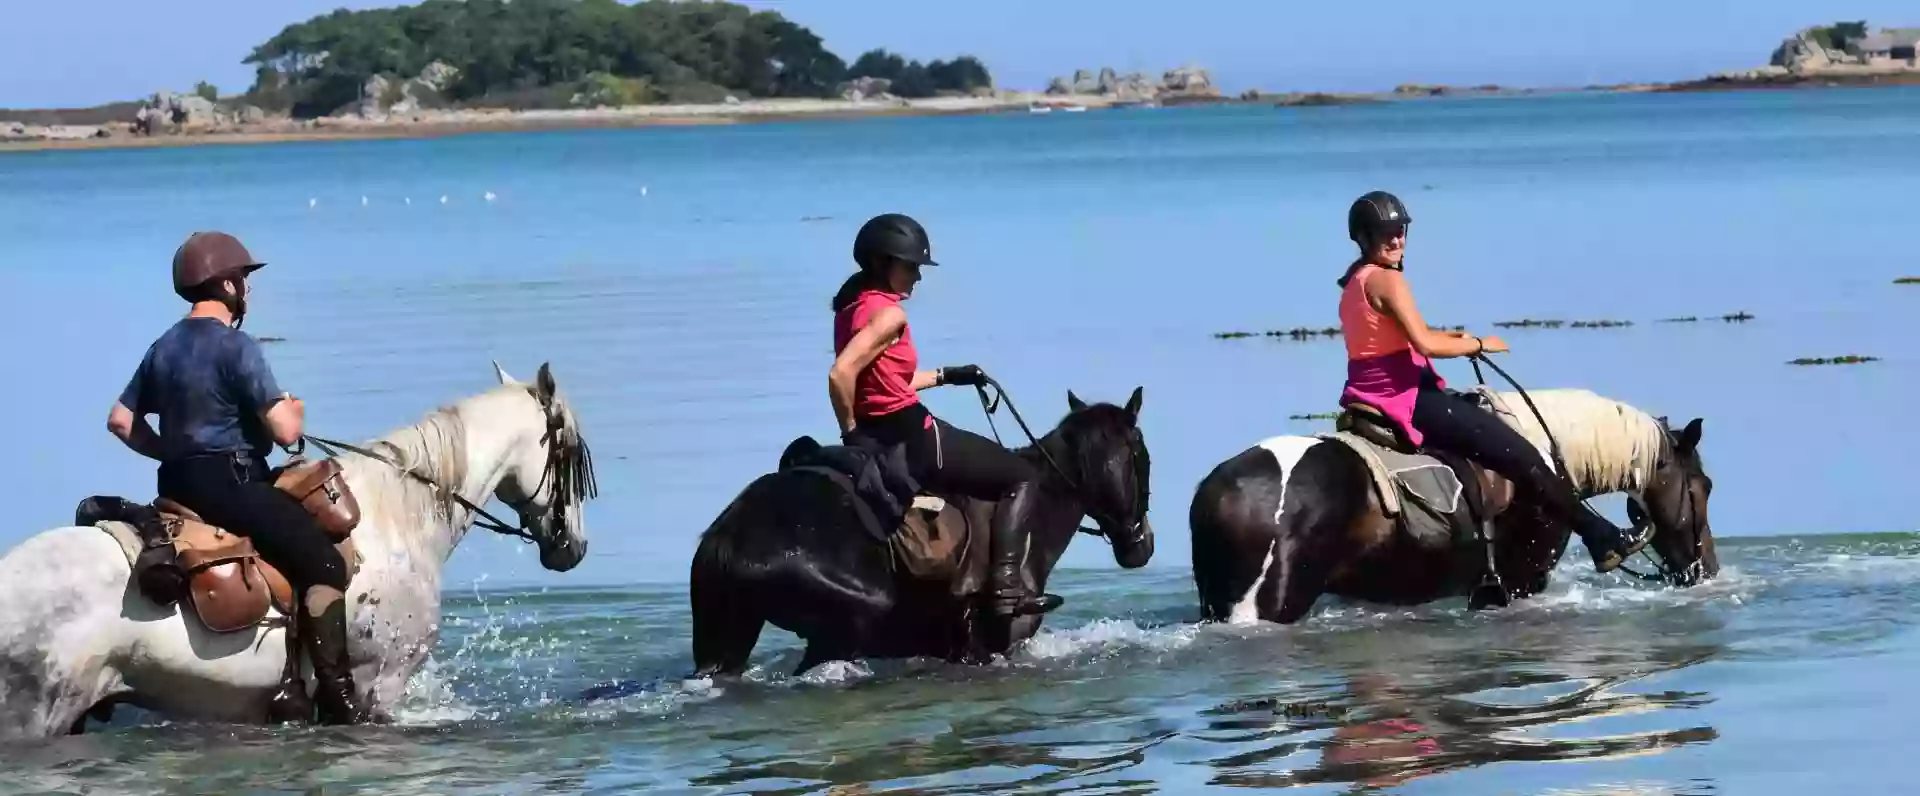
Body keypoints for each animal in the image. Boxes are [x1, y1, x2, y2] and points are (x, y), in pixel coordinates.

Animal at [695, 389, 1152, 675]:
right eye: (1143, 455)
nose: (1141, 545)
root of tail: (729, 540)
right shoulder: (990, 647)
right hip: (845, 626)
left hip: (726, 635)